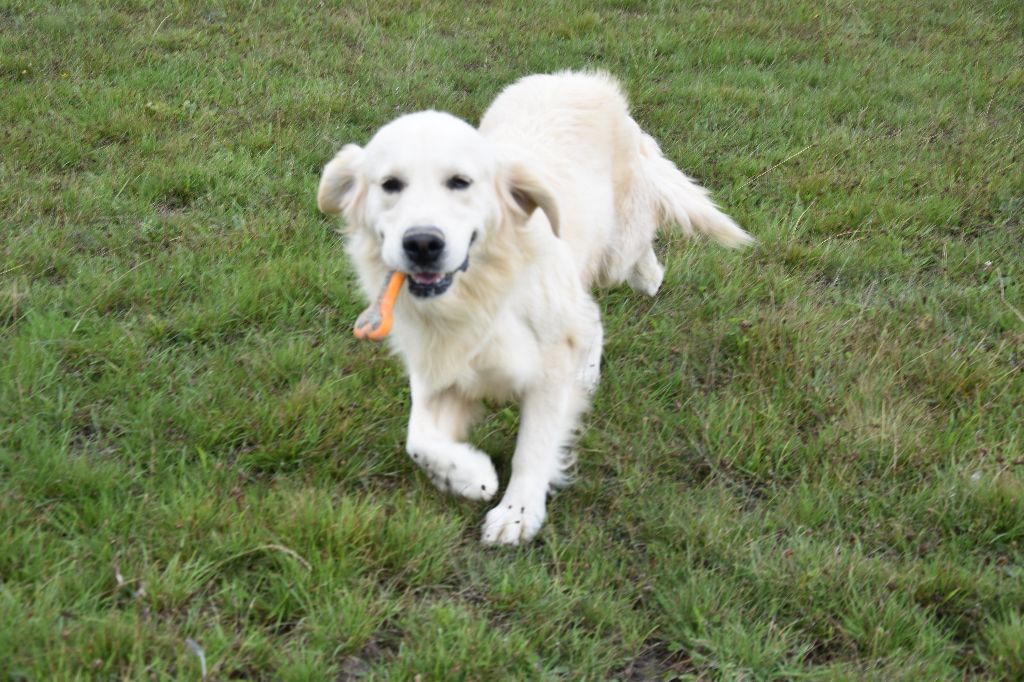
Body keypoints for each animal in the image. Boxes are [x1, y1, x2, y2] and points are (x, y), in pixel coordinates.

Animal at [315, 71, 749, 544]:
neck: (483, 294)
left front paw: (518, 512)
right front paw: (468, 475)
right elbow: (419, 440)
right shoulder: (439, 364)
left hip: (615, 252)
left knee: (635, 259)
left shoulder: (549, 365)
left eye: (460, 182)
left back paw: (647, 277)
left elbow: (533, 444)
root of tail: (584, 79)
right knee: (593, 316)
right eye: (390, 184)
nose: (423, 244)